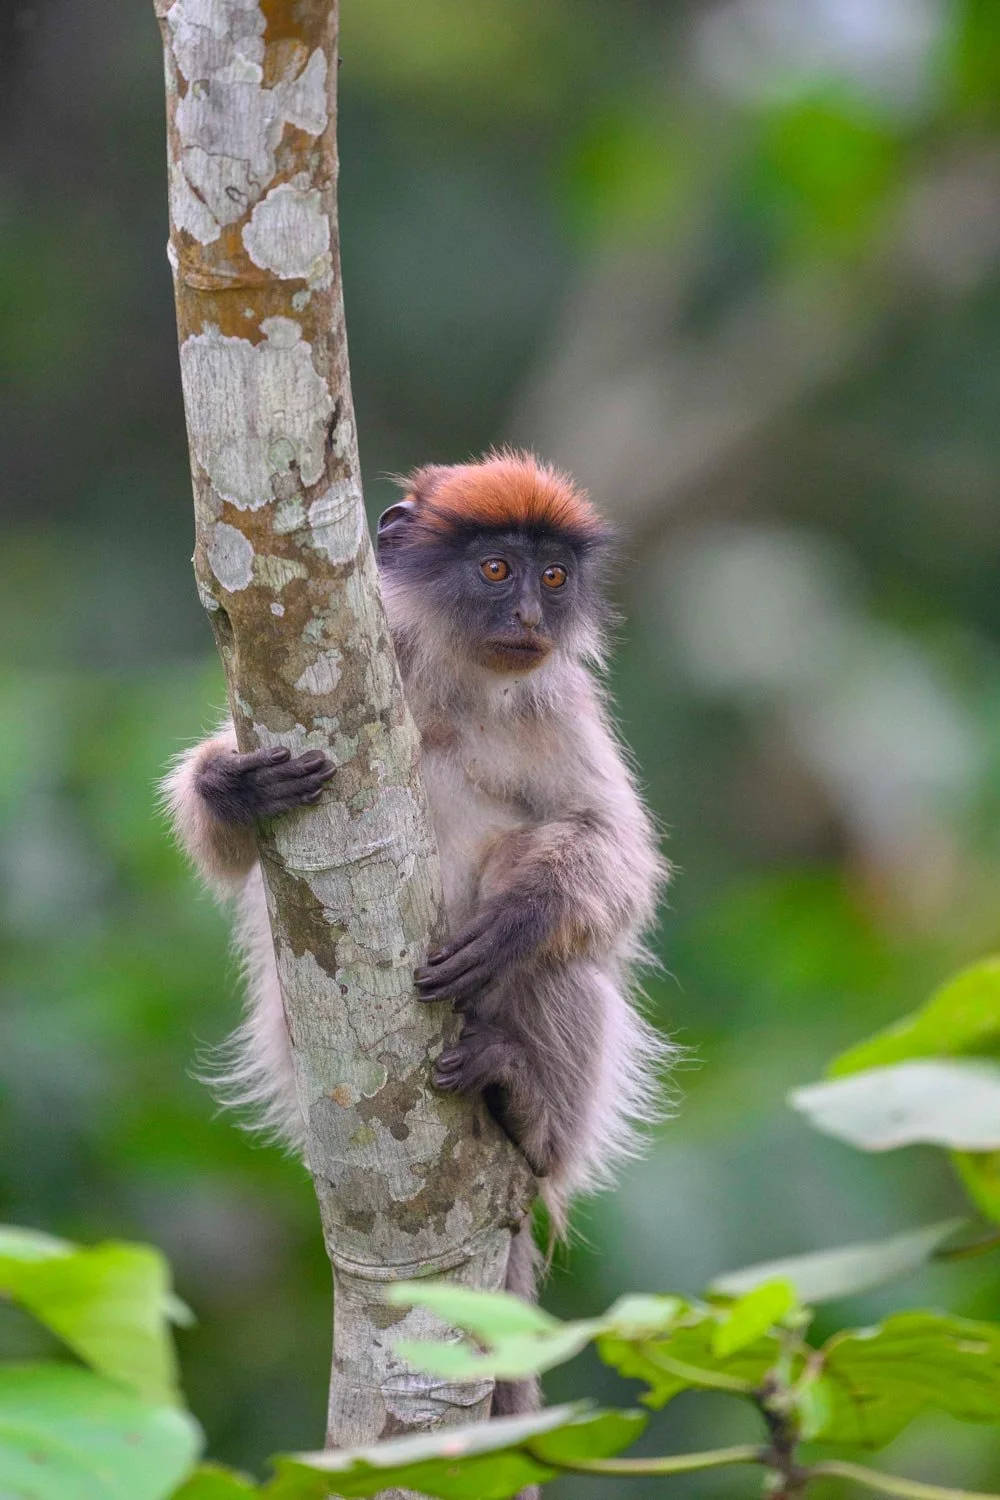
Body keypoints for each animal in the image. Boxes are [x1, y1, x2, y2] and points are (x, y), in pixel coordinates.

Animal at [161, 451, 672, 1429]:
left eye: (555, 577)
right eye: (497, 569)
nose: (530, 617)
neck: (449, 690)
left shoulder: (560, 703)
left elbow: (620, 865)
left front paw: (520, 919)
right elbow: (224, 850)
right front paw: (227, 789)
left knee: (565, 962)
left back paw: (527, 1111)